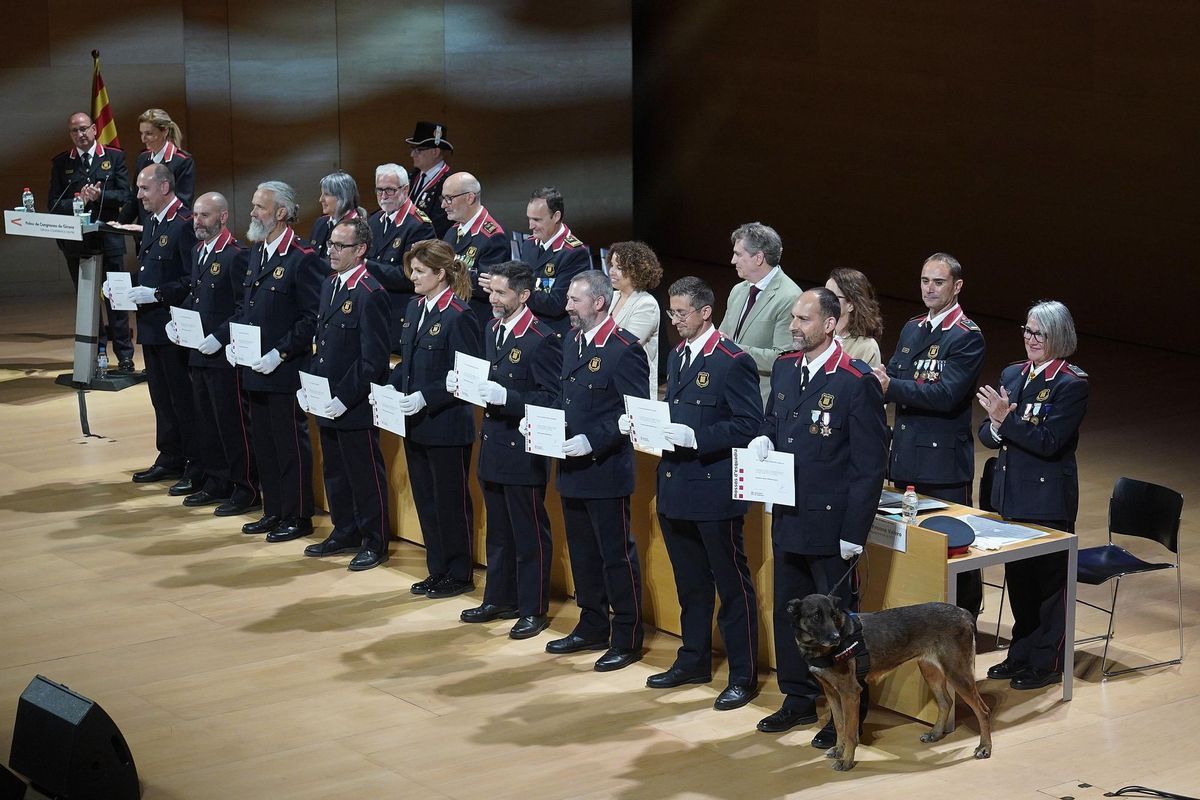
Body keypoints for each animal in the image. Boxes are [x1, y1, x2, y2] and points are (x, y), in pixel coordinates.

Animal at [787, 594, 993, 767]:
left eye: (834, 615)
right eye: (816, 616)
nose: (836, 638)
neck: (817, 649)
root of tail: (964, 612)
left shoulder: (850, 693)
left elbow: (850, 732)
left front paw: (846, 760)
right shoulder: (831, 692)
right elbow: (839, 725)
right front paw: (839, 750)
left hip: (957, 674)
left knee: (983, 710)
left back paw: (985, 747)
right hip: (930, 670)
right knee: (946, 702)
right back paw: (935, 734)